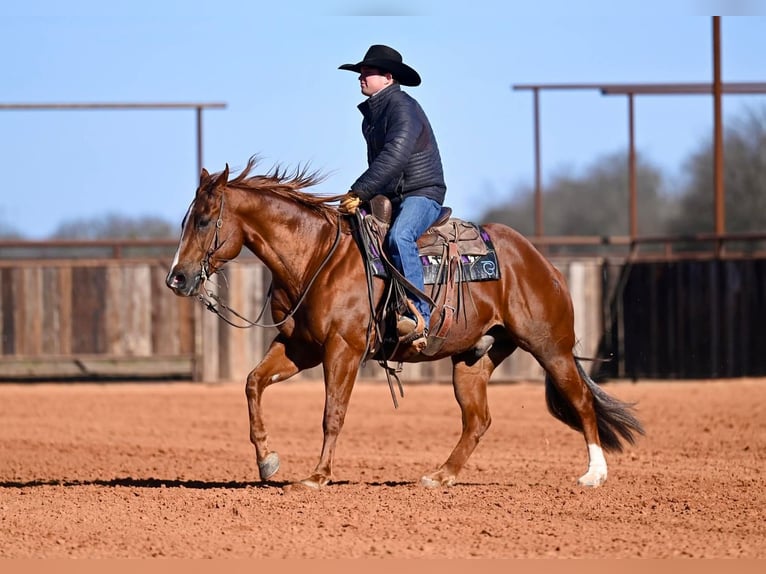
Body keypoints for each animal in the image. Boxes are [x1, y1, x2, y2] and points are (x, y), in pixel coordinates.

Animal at [165, 157, 644, 489]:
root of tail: (541, 262)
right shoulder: (299, 348)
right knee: (478, 420)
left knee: (581, 401)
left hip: (550, 347)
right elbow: (252, 383)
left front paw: (317, 476)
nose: (177, 278)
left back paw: (594, 475)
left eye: (204, 220)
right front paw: (267, 460)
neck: (317, 257)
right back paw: (441, 475)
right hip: (474, 359)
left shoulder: (343, 349)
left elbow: (332, 413)